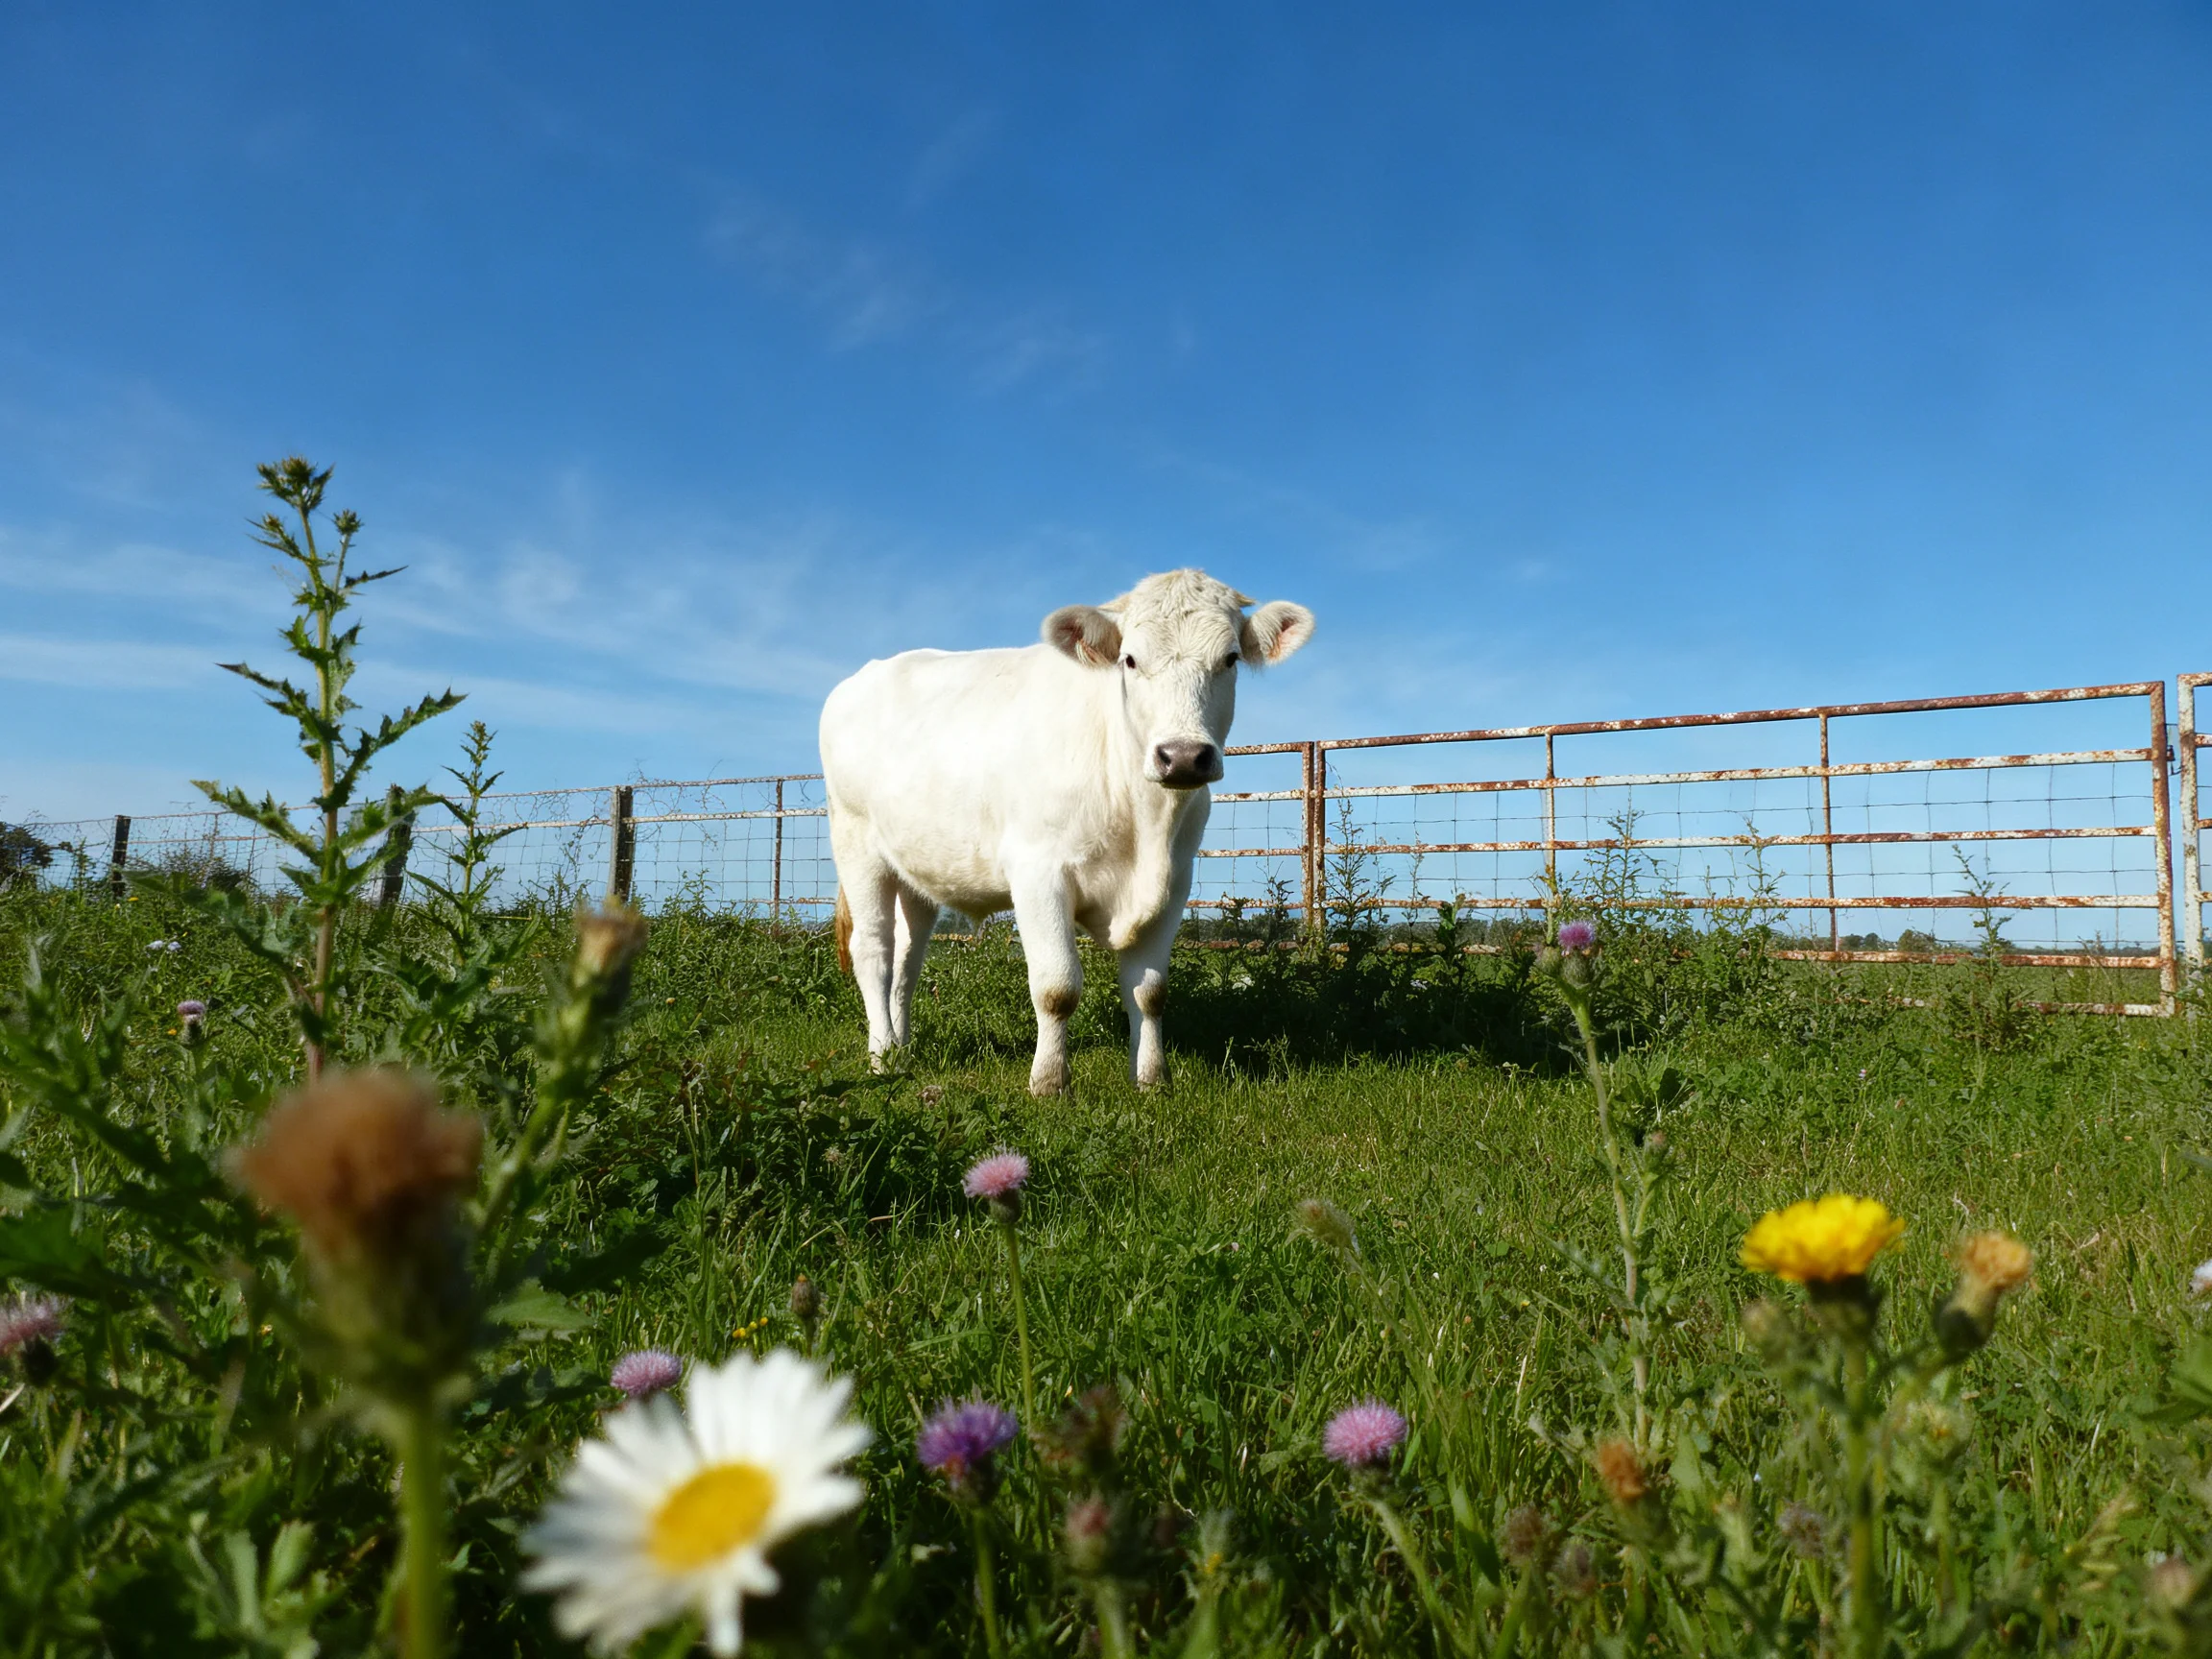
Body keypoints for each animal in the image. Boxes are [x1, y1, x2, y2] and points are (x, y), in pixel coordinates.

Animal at [819, 569, 1315, 1095]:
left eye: (1230, 659)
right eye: (1130, 660)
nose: (1182, 756)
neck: (1144, 826)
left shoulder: (1175, 884)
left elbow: (1151, 991)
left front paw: (1151, 1079)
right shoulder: (1038, 873)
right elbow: (1057, 987)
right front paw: (1049, 1082)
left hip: (918, 870)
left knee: (908, 960)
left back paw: (903, 1047)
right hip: (857, 846)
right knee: (874, 949)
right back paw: (882, 1056)